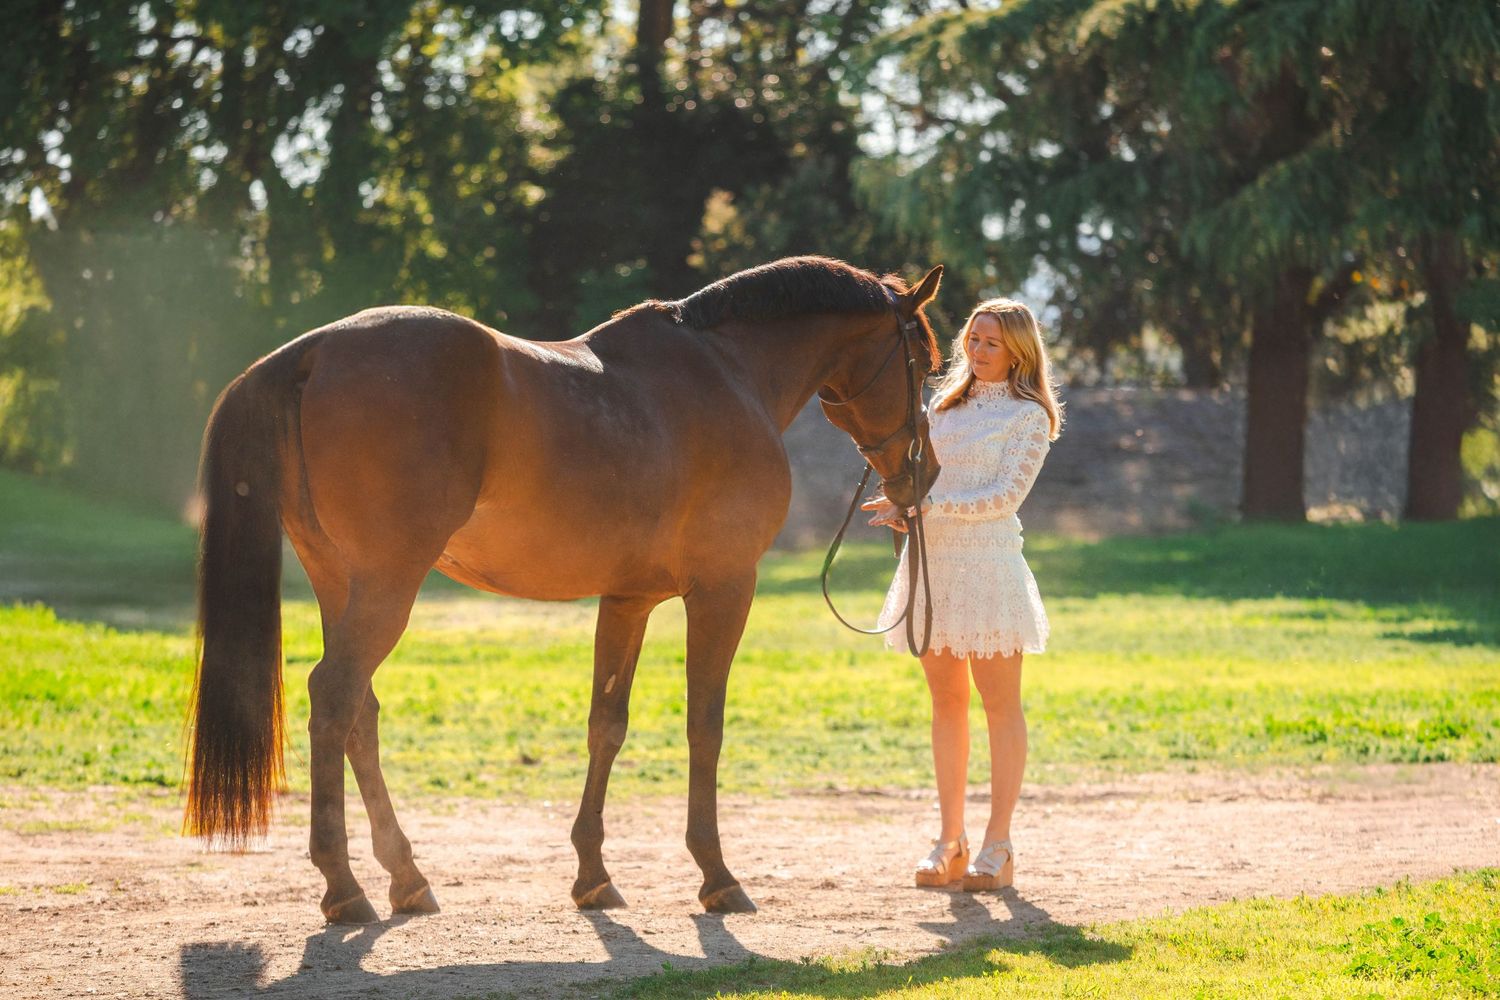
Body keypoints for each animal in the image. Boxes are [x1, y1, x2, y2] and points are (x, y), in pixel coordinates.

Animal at [186, 255, 943, 924]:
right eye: (923, 359)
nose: (924, 472)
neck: (729, 372)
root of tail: (311, 352)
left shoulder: (628, 599)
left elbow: (606, 725)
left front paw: (593, 875)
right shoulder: (724, 588)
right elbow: (705, 725)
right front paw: (717, 875)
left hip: (339, 584)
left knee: (358, 714)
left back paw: (406, 877)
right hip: (386, 586)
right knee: (335, 697)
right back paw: (344, 888)